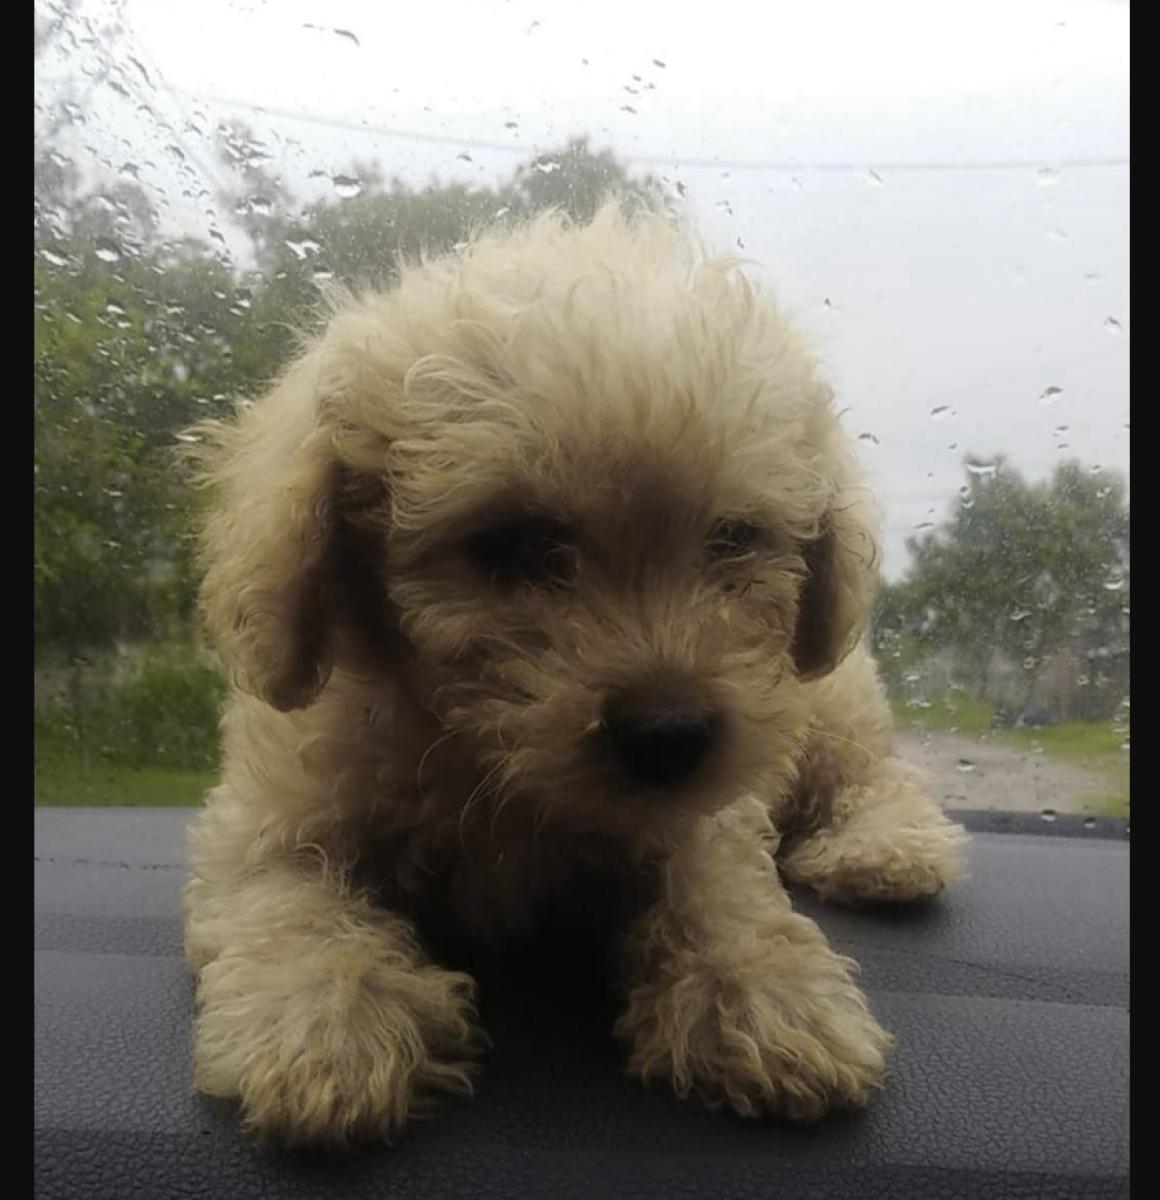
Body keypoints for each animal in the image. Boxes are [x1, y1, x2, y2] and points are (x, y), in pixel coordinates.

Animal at [183, 201, 969, 1148]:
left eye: (734, 538)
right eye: (510, 546)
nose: (671, 736)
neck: (488, 770)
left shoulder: (704, 812)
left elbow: (718, 887)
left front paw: (762, 992)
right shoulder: (264, 820)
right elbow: (288, 900)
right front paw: (329, 1023)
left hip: (828, 706)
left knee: (879, 773)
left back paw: (882, 851)